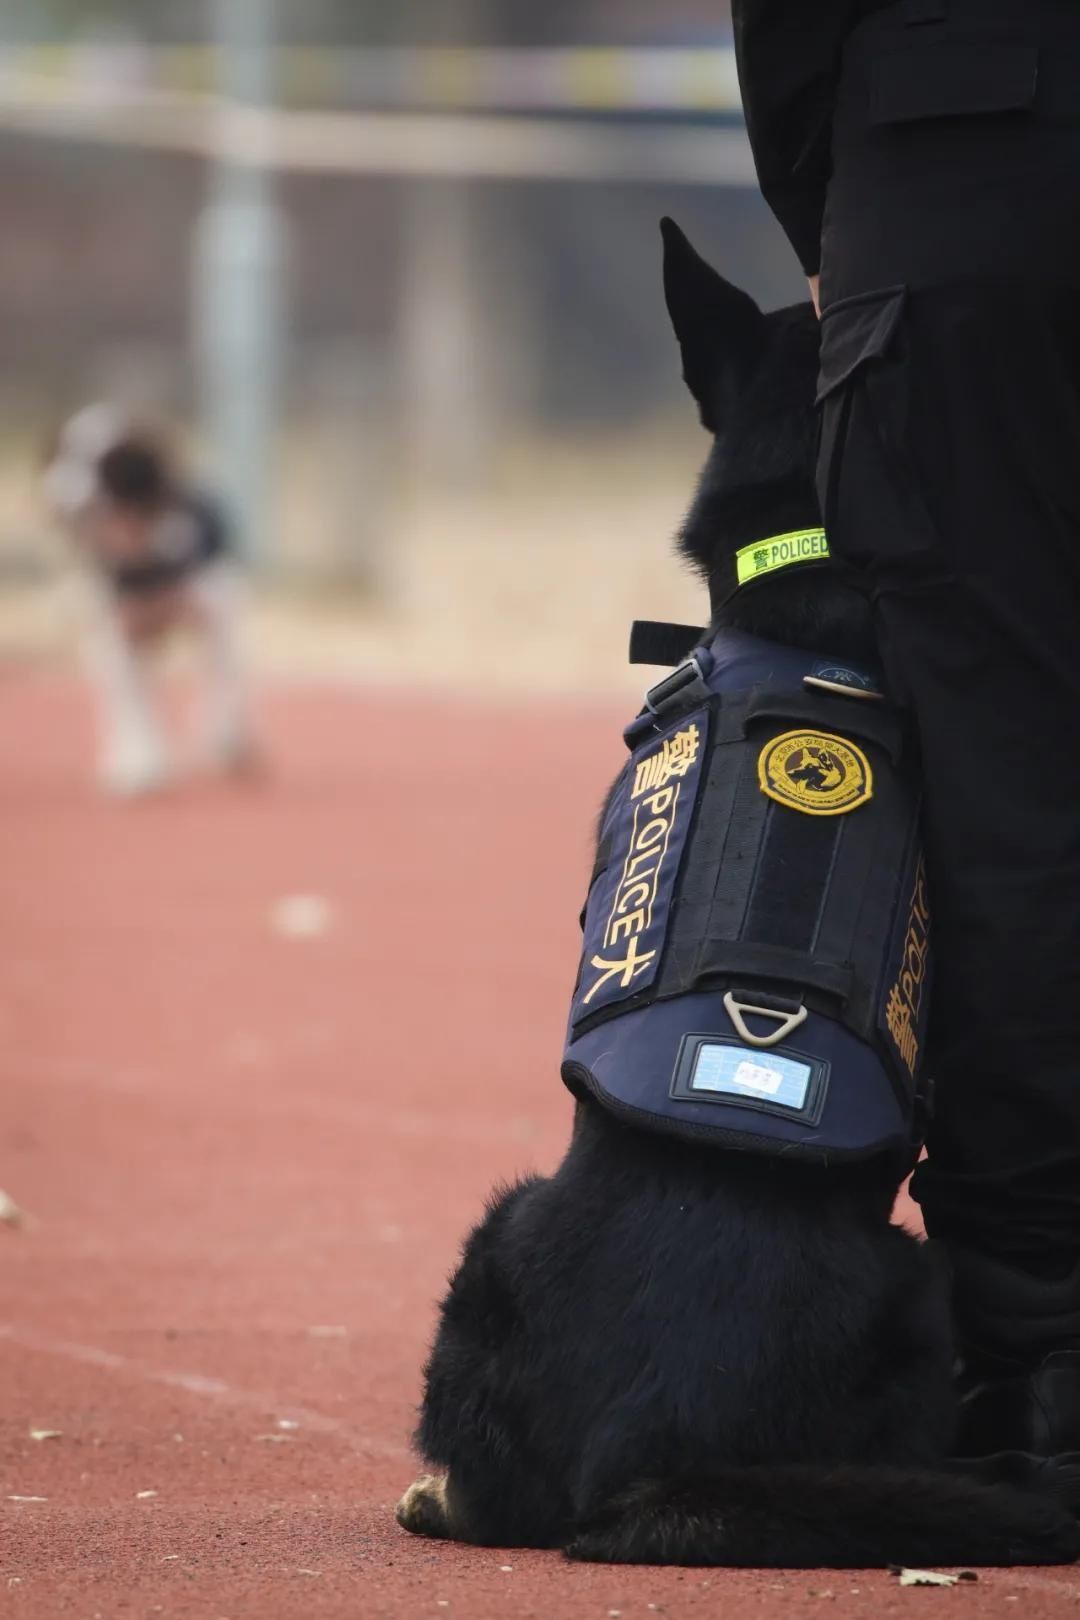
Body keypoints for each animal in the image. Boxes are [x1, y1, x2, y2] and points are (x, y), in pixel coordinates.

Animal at [43, 405, 259, 797]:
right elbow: (136, 707)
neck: (140, 552)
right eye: (62, 456)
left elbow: (223, 687)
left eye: (110, 465)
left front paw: (224, 735)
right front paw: (141, 764)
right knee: (129, 700)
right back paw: (126, 753)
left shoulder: (217, 621)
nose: (59, 501)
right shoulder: (119, 638)